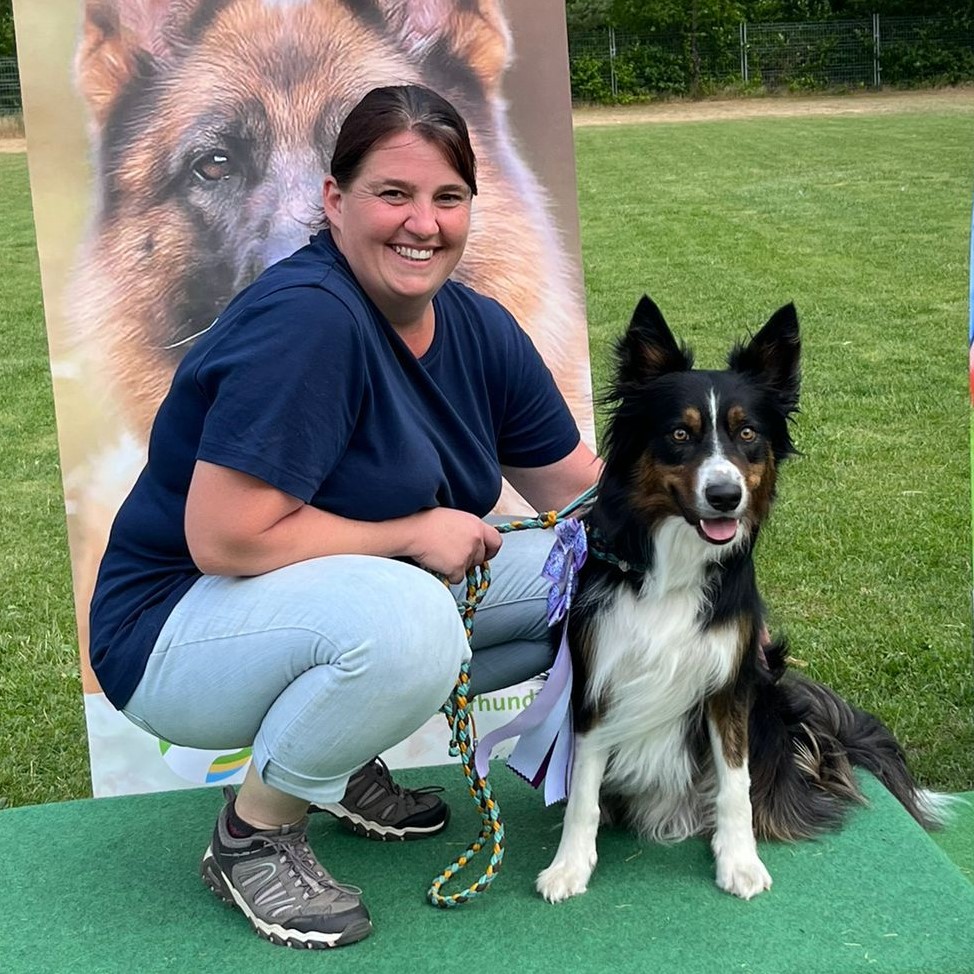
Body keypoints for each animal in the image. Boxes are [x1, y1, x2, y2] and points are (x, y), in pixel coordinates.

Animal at [536, 300, 948, 908]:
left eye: (748, 432)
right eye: (680, 433)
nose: (726, 496)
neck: (673, 568)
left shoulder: (730, 682)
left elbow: (735, 784)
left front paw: (739, 862)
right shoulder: (596, 676)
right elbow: (583, 785)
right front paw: (569, 866)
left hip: (769, 698)